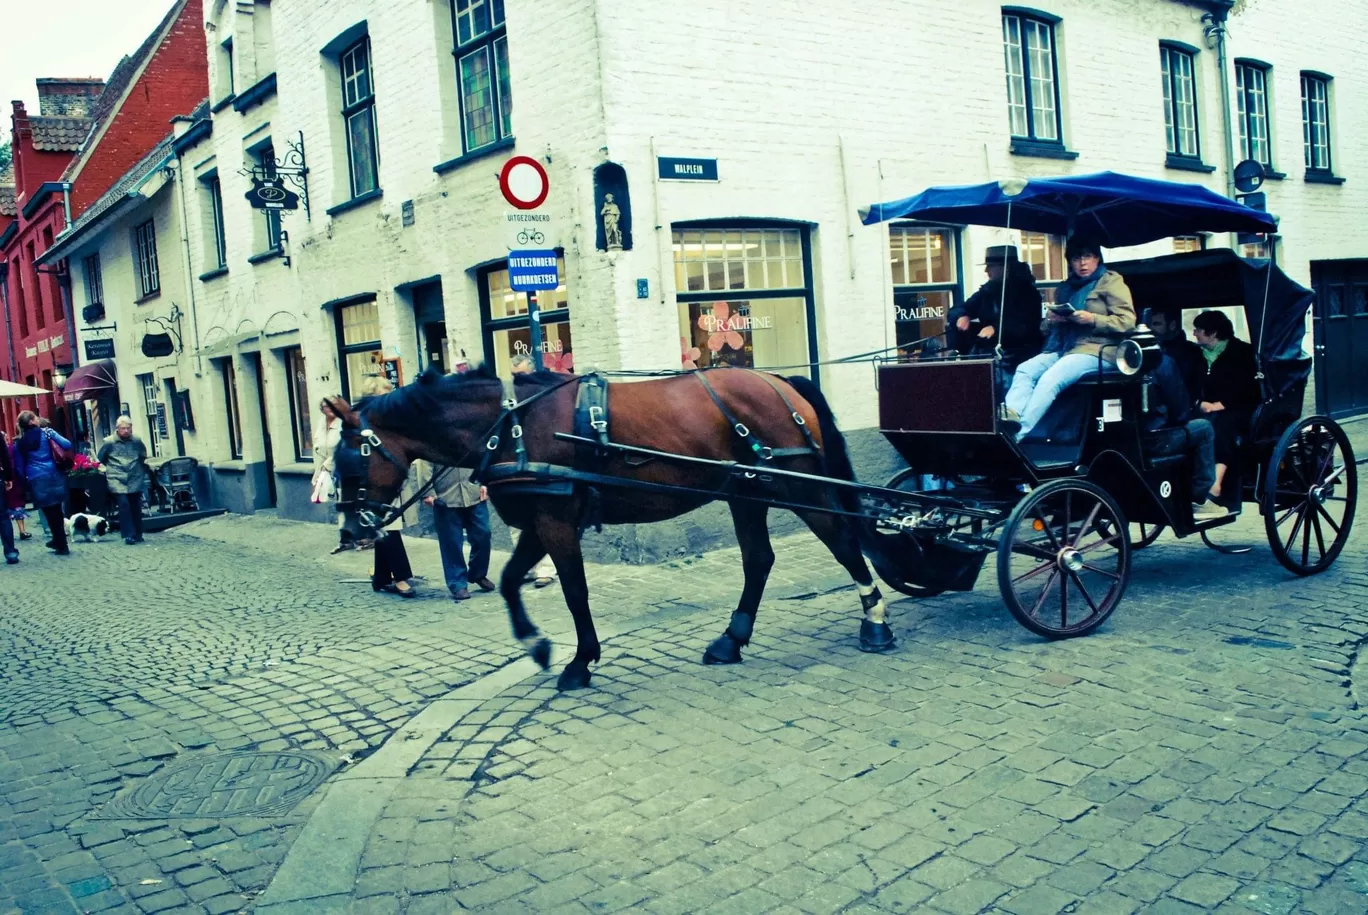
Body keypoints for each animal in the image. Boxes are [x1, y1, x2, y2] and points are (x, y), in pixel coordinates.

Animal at [325, 361, 891, 683]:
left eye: (350, 463)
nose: (351, 534)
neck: (510, 426)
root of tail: (778, 381)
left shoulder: (555, 522)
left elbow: (575, 591)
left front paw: (579, 662)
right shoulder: (539, 521)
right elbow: (509, 582)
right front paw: (538, 645)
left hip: (801, 487)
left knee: (844, 545)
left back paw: (876, 624)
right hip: (746, 493)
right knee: (758, 561)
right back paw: (729, 641)